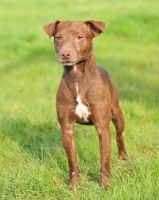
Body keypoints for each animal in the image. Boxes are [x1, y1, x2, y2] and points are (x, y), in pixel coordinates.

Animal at [43, 19, 128, 188]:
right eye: (58, 37)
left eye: (79, 37)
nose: (65, 54)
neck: (77, 77)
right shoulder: (67, 129)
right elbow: (72, 162)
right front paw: (73, 186)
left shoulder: (102, 128)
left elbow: (105, 161)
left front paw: (106, 186)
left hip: (117, 114)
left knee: (119, 135)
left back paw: (123, 157)